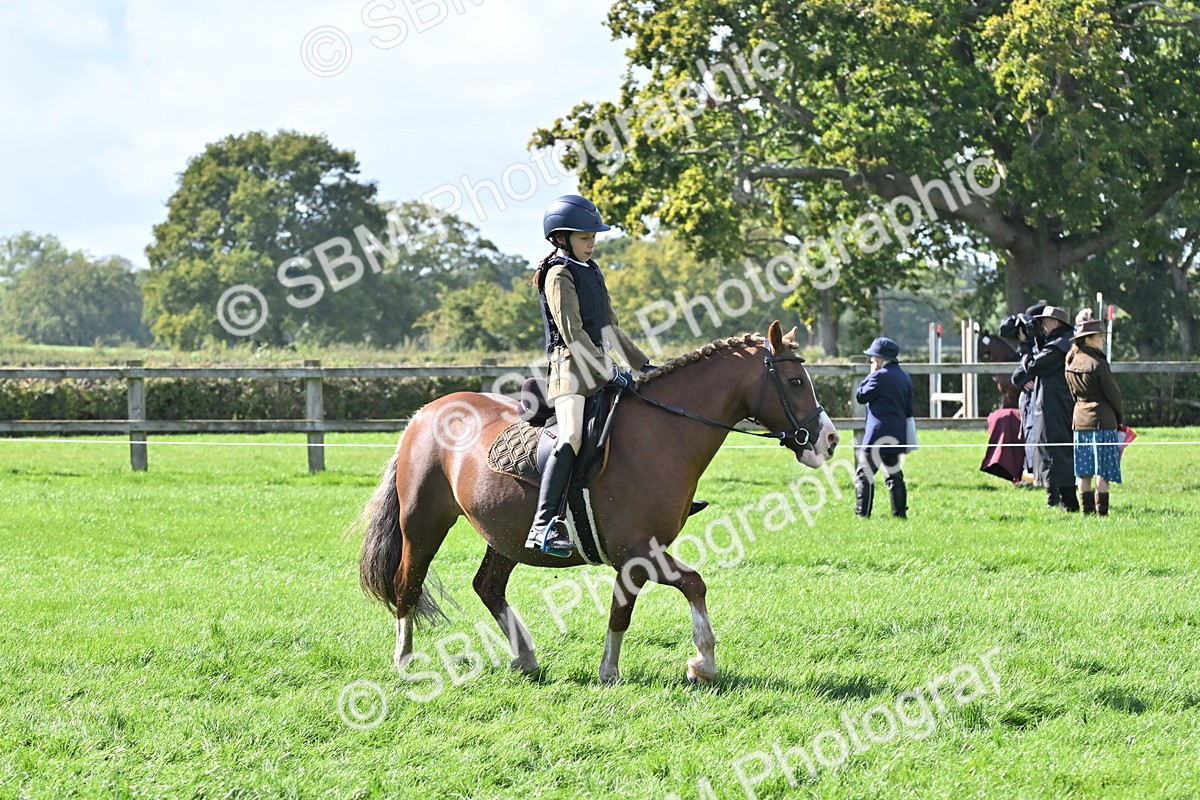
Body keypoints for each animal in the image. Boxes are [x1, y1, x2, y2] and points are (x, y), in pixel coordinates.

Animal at [356, 321, 840, 685]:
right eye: (795, 381)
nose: (830, 440)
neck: (664, 433)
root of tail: (424, 413)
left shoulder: (638, 555)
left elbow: (629, 607)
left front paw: (618, 669)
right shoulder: (636, 551)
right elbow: (686, 586)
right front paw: (699, 663)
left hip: (506, 535)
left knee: (488, 586)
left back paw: (525, 657)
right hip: (423, 525)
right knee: (407, 585)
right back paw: (405, 661)